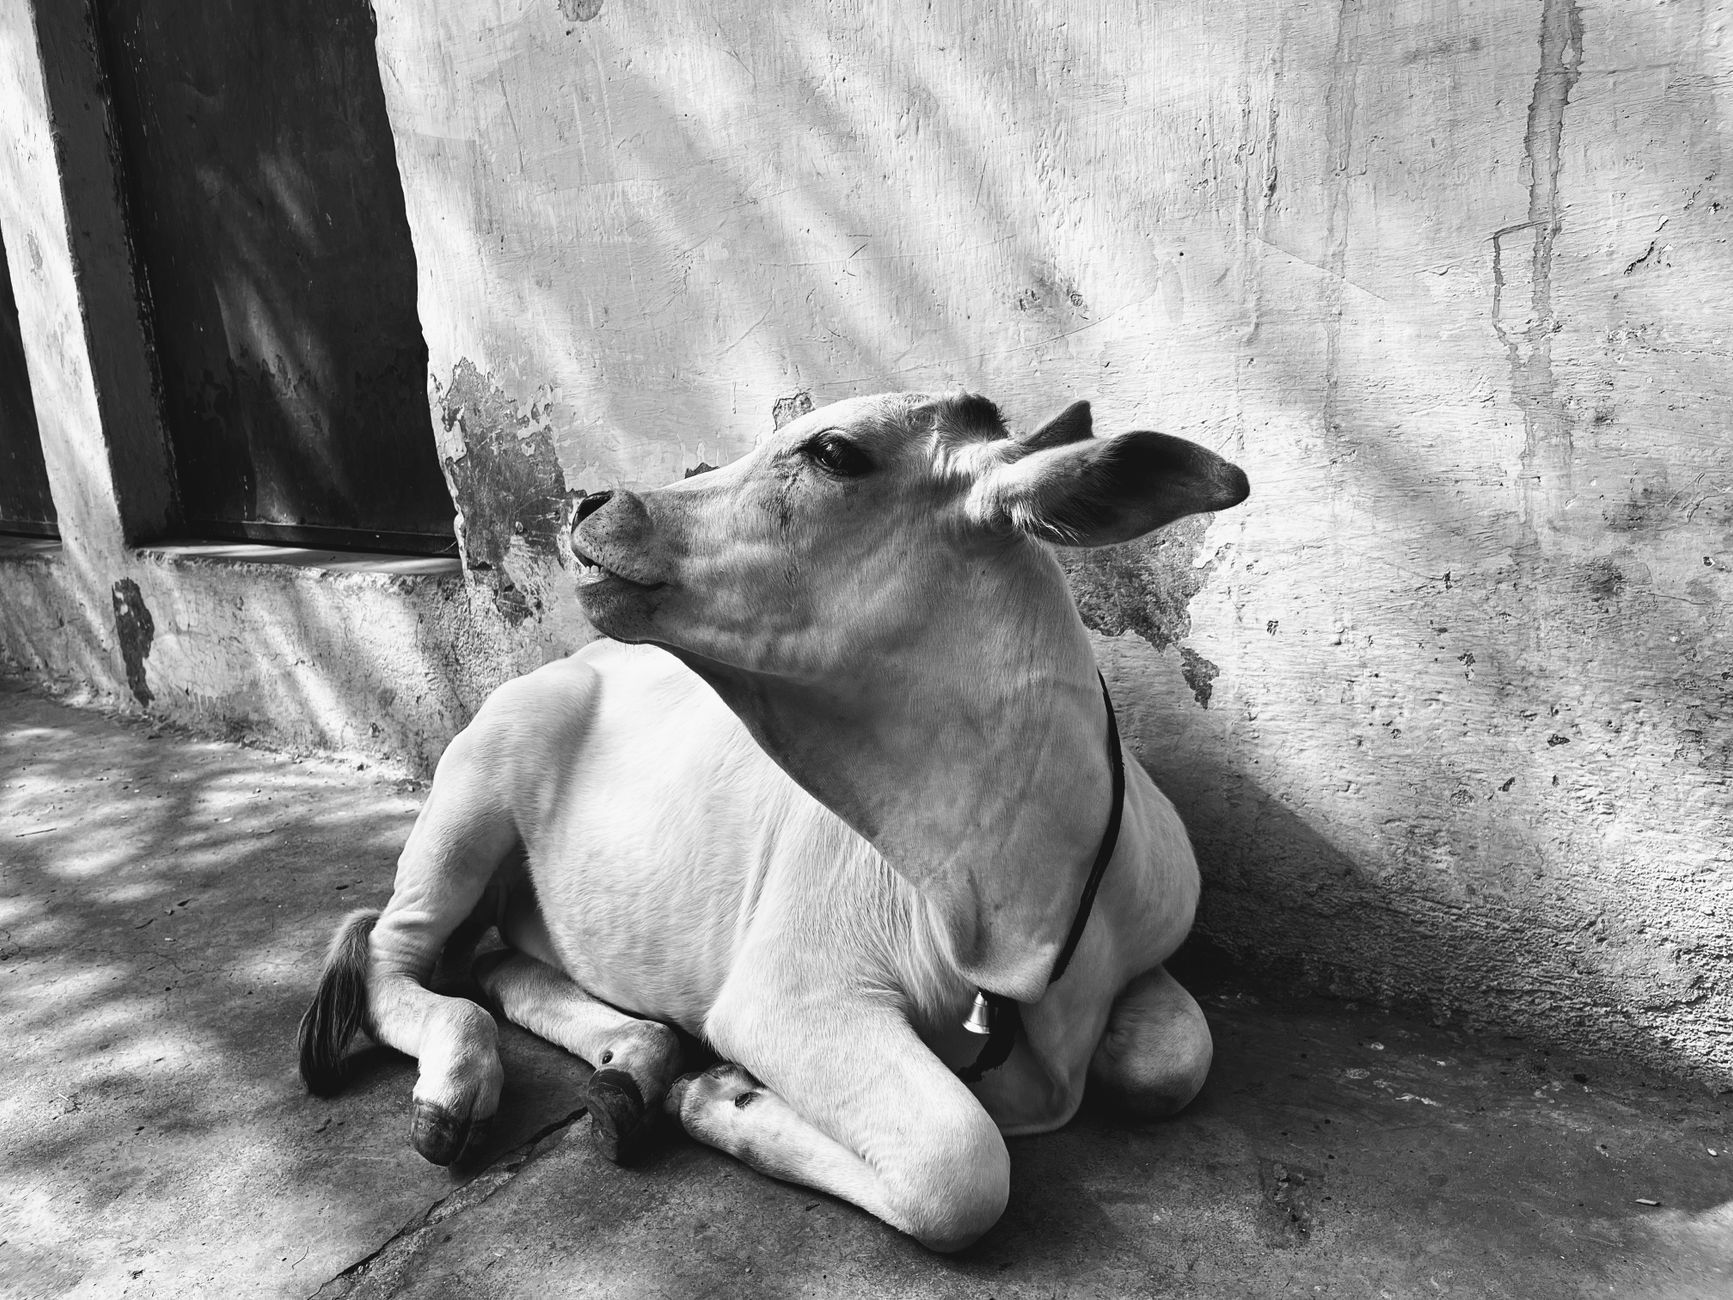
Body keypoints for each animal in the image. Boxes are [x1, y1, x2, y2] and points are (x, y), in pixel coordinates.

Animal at [298, 391, 1249, 1251]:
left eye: (834, 451)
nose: (594, 503)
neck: (1008, 913)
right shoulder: (787, 997)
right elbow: (960, 1168)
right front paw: (723, 1097)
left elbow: (1174, 1061)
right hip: (469, 797)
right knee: (391, 960)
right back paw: (462, 1085)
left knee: (500, 969)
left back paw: (631, 1071)